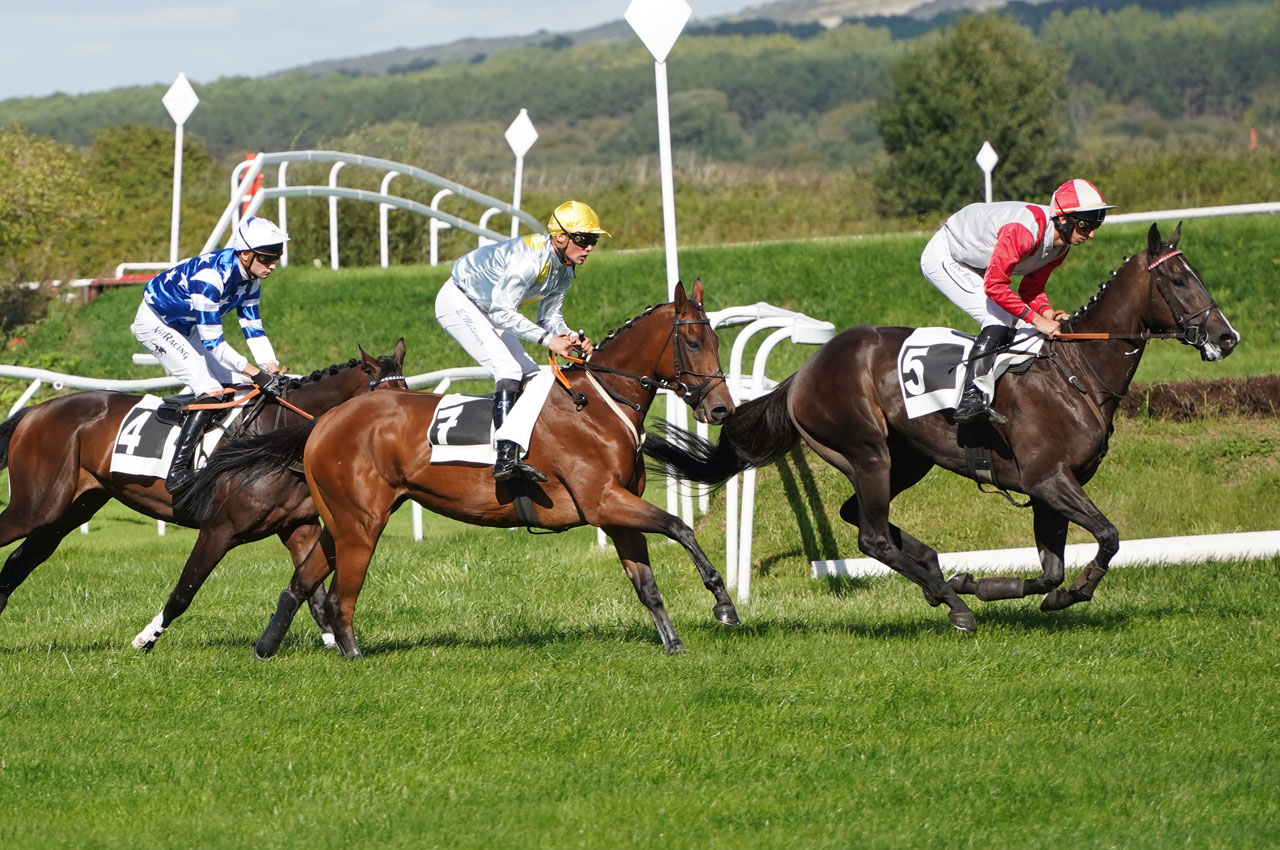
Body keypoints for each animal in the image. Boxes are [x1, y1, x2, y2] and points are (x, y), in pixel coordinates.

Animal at [0, 335, 407, 647]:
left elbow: (312, 591)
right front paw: (146, 638)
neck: (277, 438)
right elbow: (184, 591)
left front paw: (331, 644)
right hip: (37, 506)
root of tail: (36, 410)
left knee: (20, 562)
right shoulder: (220, 529)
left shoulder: (298, 527)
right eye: (382, 399)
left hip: (69, 510)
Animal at [181, 279, 742, 655]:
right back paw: (352, 655)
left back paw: (266, 648)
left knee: (303, 581)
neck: (597, 403)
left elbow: (646, 581)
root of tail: (324, 421)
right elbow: (680, 526)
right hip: (361, 523)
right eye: (694, 341)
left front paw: (672, 642)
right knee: (341, 595)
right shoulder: (602, 499)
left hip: (341, 520)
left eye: (717, 340)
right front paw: (723, 603)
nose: (720, 410)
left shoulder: (614, 509)